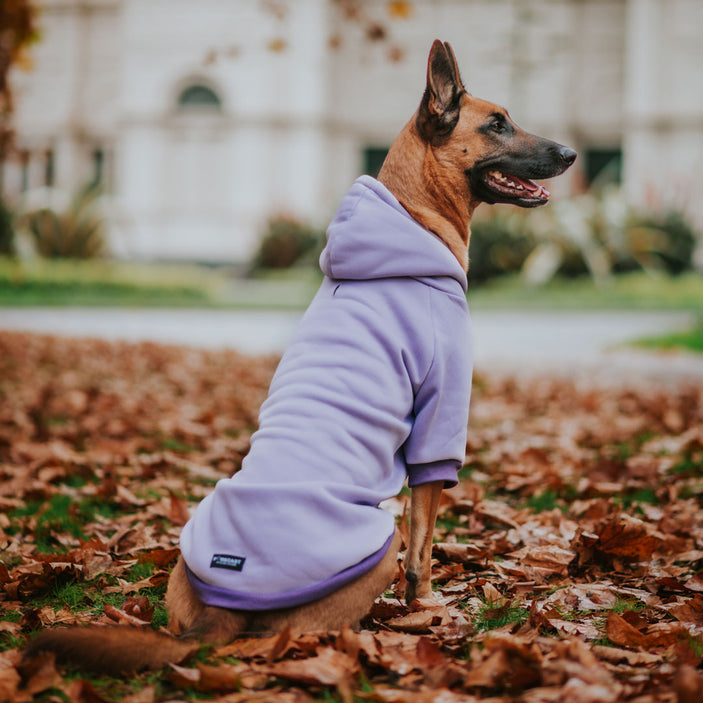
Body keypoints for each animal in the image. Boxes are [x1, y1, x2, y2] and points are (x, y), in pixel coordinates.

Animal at [26, 40, 576, 676]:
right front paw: (426, 609)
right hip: (375, 543)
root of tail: (218, 610)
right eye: (497, 123)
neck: (407, 220)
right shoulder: (439, 423)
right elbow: (425, 539)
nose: (571, 154)